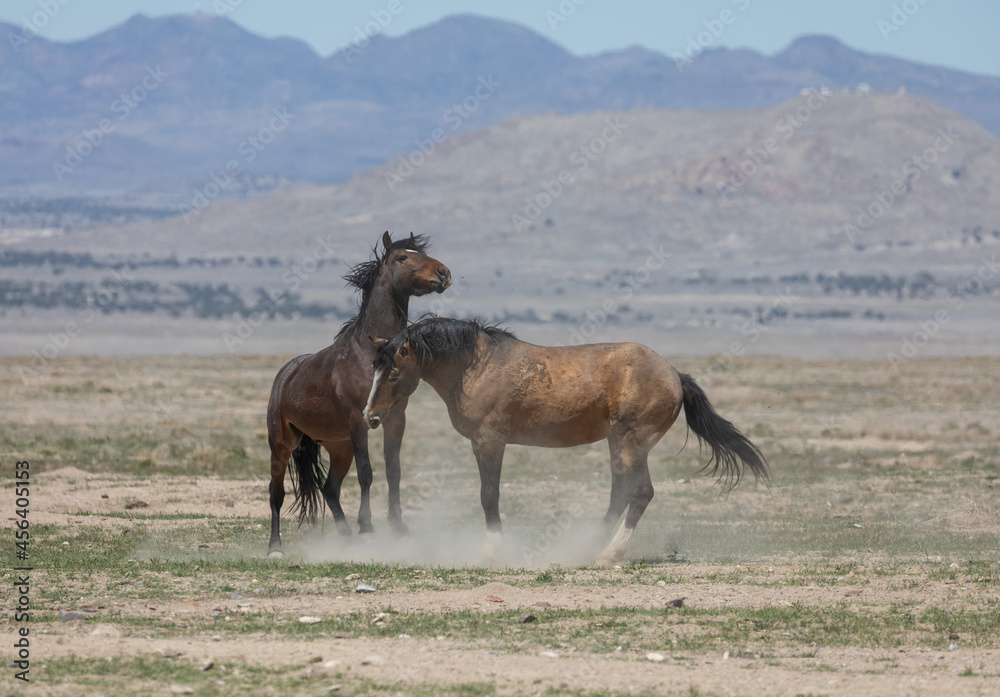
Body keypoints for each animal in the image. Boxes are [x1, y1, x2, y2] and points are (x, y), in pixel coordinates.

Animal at [265, 231, 451, 557]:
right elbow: (367, 473)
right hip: (281, 443)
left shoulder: (396, 418)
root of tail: (286, 374)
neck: (369, 353)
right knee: (276, 493)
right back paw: (275, 547)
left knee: (329, 489)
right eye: (402, 257)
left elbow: (393, 470)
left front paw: (398, 527)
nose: (443, 273)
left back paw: (344, 535)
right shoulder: (357, 419)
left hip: (339, 447)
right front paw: (367, 527)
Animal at [362, 316, 768, 564]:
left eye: (393, 372)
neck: (476, 366)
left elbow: (489, 495)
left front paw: (492, 551)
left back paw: (609, 553)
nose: (370, 417)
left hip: (631, 442)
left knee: (639, 492)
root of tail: (674, 375)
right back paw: (590, 547)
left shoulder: (489, 441)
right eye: (374, 367)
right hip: (618, 444)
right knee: (620, 492)